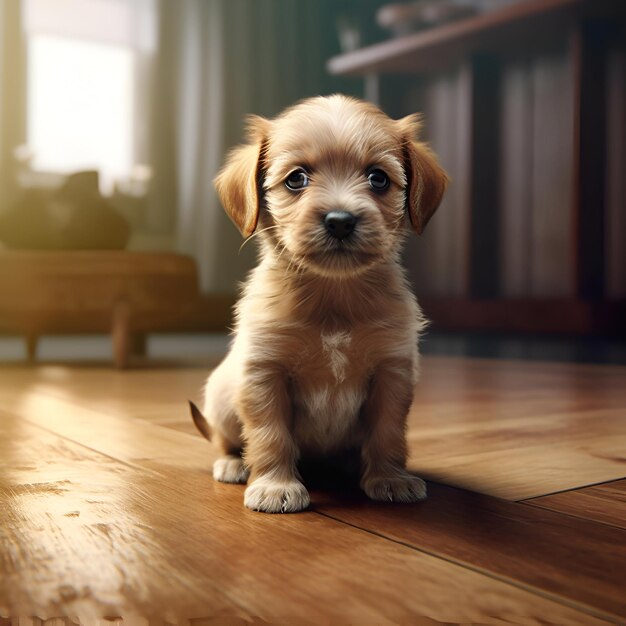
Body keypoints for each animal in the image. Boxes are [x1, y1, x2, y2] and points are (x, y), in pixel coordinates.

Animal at [193, 94, 446, 512]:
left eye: (378, 178)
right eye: (296, 178)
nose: (340, 220)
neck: (333, 297)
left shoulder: (391, 372)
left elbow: (388, 432)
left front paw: (389, 477)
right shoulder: (265, 372)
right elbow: (270, 435)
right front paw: (276, 485)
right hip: (223, 397)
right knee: (225, 438)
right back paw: (234, 463)